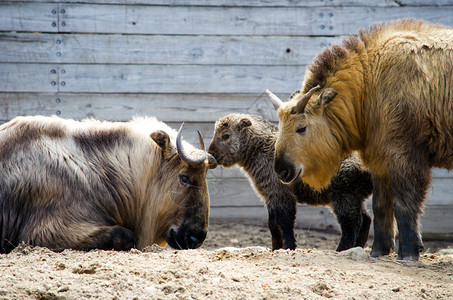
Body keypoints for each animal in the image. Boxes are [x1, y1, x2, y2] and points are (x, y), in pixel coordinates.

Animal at [207, 113, 370, 251]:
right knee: (365, 219)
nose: (211, 154)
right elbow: (273, 224)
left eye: (226, 135)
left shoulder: (281, 194)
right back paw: (358, 247)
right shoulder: (270, 196)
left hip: (343, 196)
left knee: (352, 223)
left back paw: (341, 250)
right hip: (354, 197)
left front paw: (289, 247)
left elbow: (285, 222)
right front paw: (275, 248)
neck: (262, 148)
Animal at [268, 19, 452, 262]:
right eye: (280, 127)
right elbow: (380, 206)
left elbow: (403, 205)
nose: (282, 170)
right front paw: (379, 250)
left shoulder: (404, 156)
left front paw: (409, 252)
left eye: (301, 128)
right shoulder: (381, 159)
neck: (369, 82)